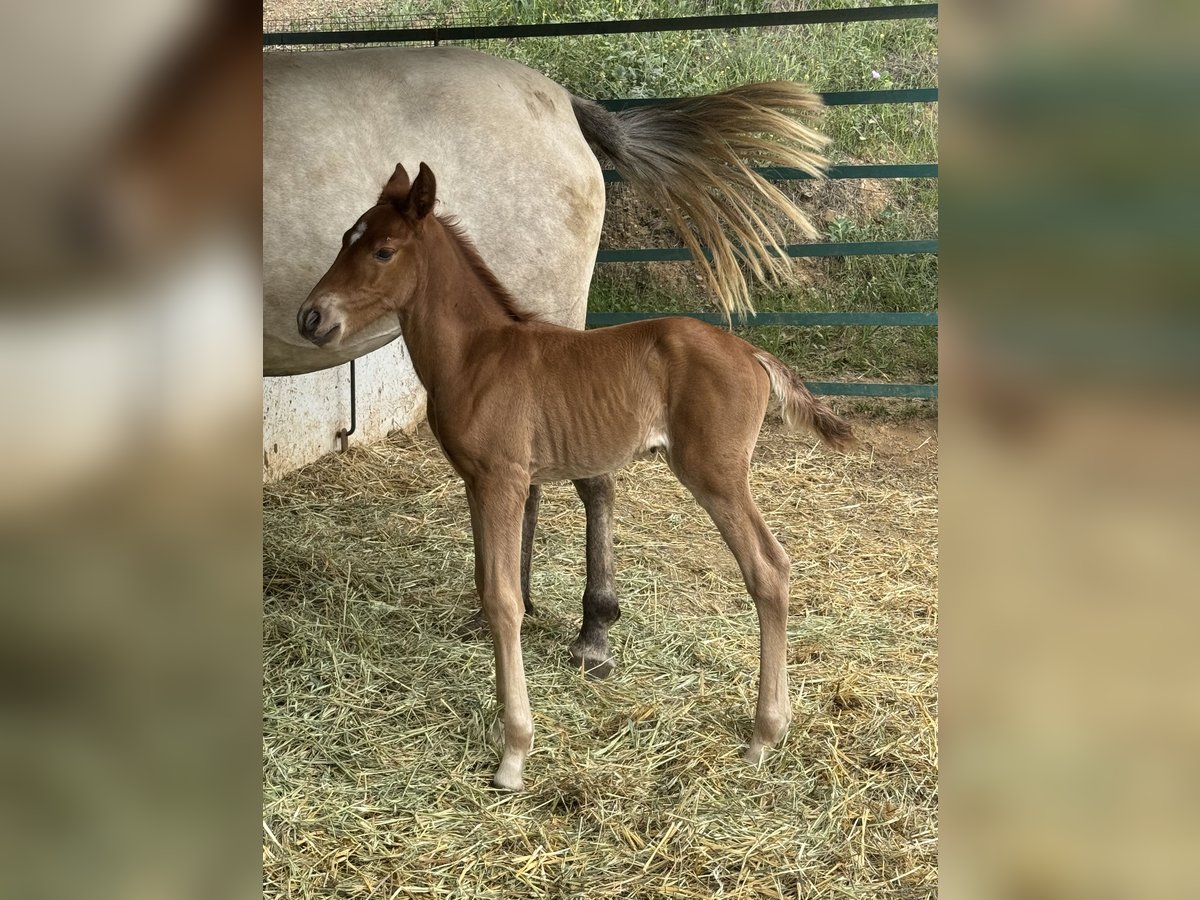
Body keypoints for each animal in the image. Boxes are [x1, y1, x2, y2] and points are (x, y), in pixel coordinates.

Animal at [298, 165, 854, 792]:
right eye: (346, 238)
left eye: (384, 250)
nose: (311, 317)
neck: (477, 356)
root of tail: (752, 352)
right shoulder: (475, 482)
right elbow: (488, 584)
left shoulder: (505, 481)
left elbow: (505, 600)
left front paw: (514, 752)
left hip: (716, 474)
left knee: (769, 569)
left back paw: (763, 734)